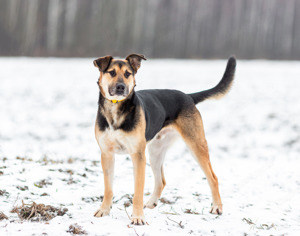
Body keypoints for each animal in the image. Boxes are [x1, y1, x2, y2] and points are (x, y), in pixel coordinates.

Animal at [93, 54, 237, 225]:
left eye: (128, 74)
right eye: (112, 72)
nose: (121, 87)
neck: (116, 108)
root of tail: (188, 96)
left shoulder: (138, 156)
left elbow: (138, 192)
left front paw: (138, 217)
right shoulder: (107, 154)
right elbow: (108, 188)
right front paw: (104, 210)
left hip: (195, 145)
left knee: (213, 177)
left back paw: (217, 207)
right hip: (155, 151)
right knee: (161, 181)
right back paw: (151, 203)